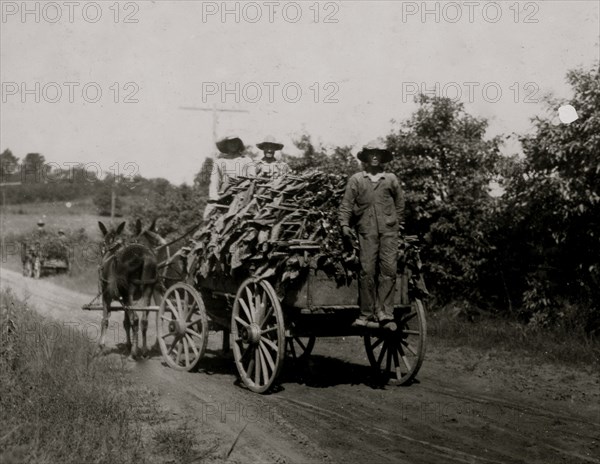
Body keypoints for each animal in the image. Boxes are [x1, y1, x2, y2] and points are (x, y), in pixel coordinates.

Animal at [96, 221, 157, 358]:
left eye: (102, 243)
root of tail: (144, 257)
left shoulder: (107, 296)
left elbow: (105, 320)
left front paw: (101, 346)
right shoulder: (124, 300)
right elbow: (126, 322)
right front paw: (128, 345)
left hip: (126, 292)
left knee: (135, 318)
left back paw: (135, 352)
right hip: (146, 291)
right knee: (143, 320)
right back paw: (143, 350)